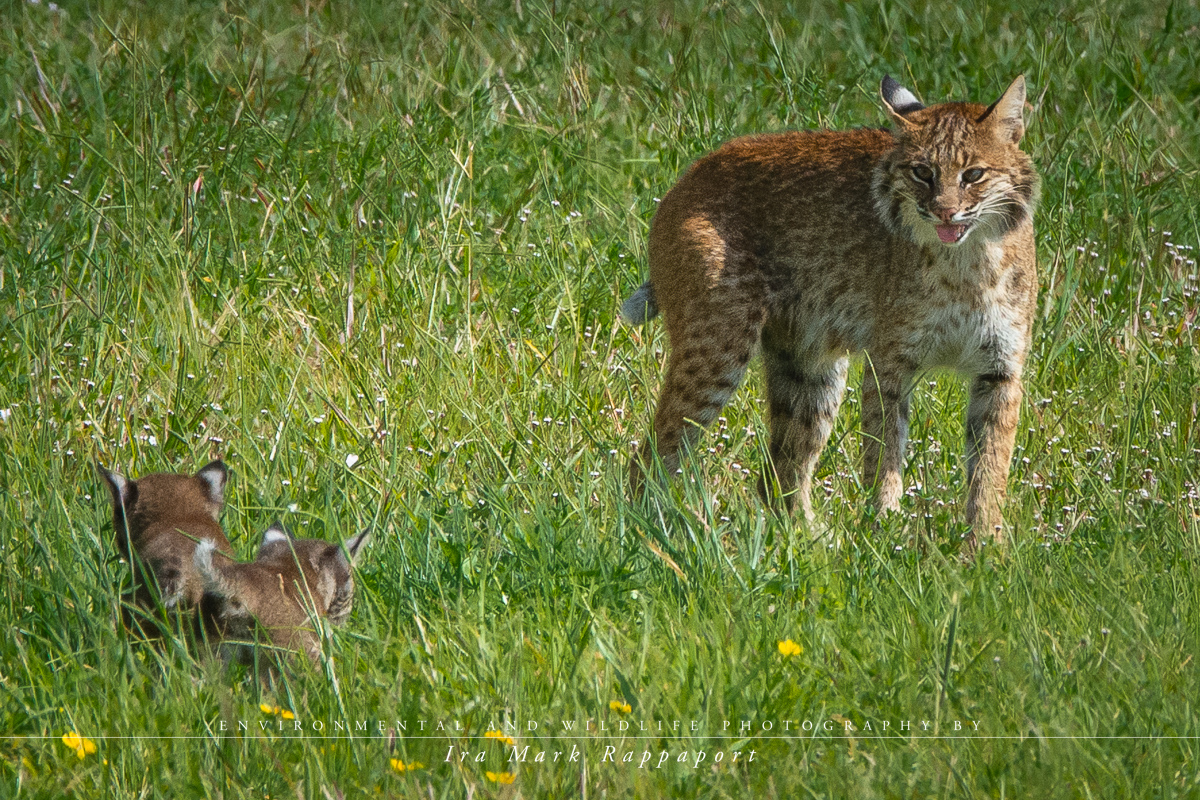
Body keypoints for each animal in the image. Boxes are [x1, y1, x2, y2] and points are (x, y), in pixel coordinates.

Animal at [624, 74, 1036, 551]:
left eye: (973, 175)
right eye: (921, 172)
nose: (945, 212)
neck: (968, 261)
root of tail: (690, 174)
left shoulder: (1000, 367)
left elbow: (990, 466)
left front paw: (985, 547)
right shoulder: (890, 362)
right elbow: (884, 452)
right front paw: (885, 532)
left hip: (810, 362)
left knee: (780, 472)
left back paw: (810, 546)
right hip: (719, 342)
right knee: (652, 452)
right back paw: (648, 536)